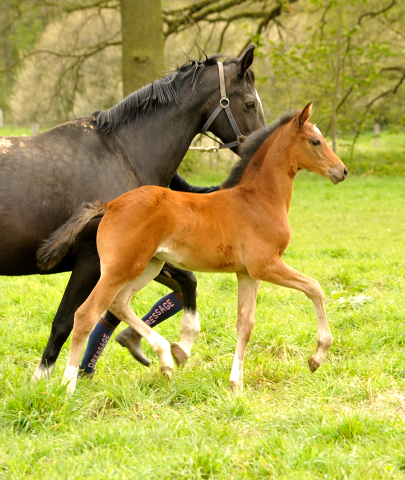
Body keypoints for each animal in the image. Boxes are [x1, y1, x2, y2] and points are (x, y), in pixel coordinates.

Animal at [38, 102, 348, 394]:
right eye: (315, 141)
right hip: (120, 269)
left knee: (119, 303)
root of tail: (111, 205)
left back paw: (166, 357)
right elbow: (315, 288)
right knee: (85, 315)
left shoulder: (248, 274)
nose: (342, 171)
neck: (258, 199)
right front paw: (317, 356)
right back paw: (68, 385)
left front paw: (236, 384)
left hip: (148, 267)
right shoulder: (266, 265)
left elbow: (245, 324)